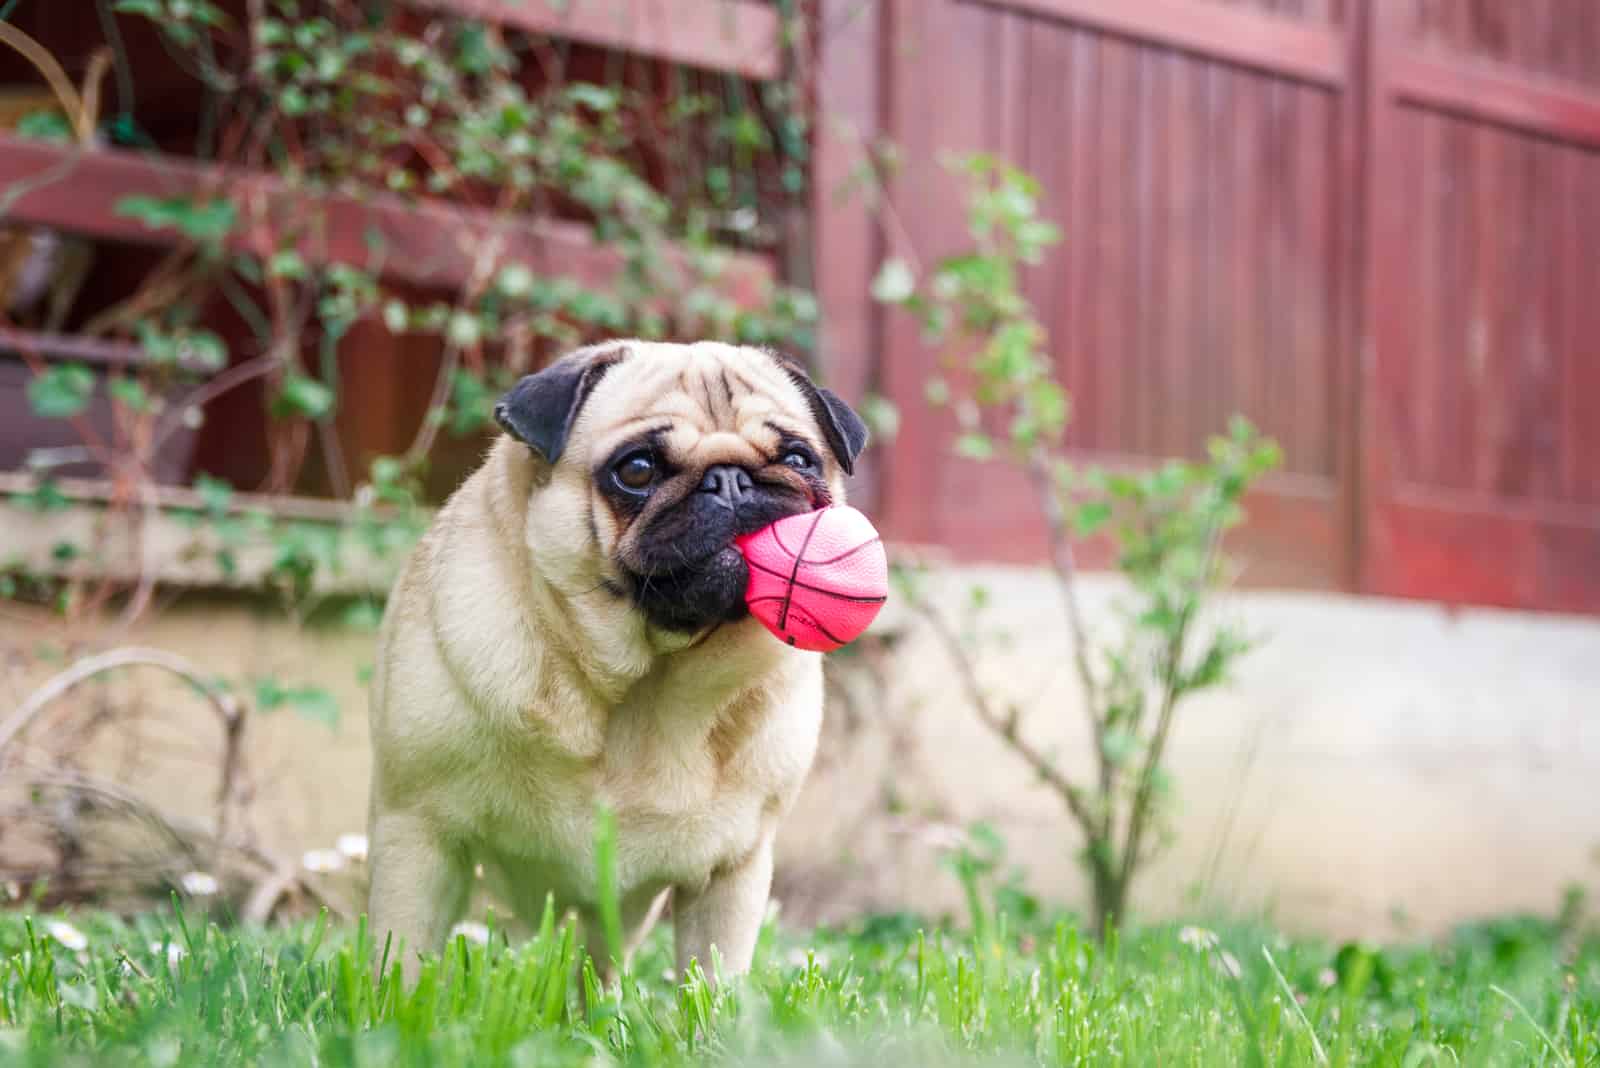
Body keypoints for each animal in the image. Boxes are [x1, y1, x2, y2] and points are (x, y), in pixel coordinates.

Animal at [366, 340, 864, 978]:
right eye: (637, 470)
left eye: (801, 459)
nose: (731, 479)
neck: (653, 681)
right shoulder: (418, 834)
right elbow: (399, 963)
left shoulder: (734, 868)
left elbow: (713, 979)